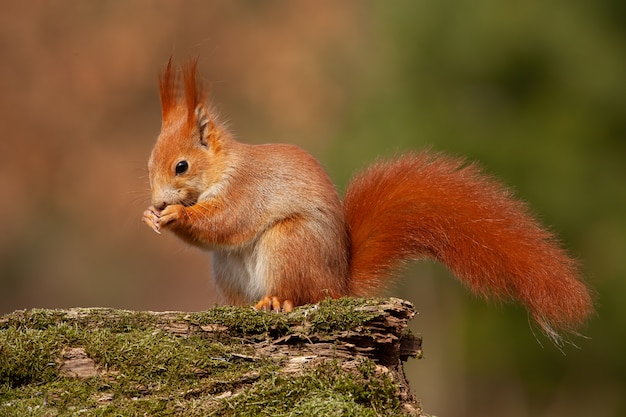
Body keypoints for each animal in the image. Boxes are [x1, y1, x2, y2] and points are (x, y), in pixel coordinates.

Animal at [141, 59, 588, 342]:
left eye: (181, 166)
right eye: (149, 164)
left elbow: (224, 221)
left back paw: (277, 300)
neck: (222, 169)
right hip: (227, 271)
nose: (159, 202)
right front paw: (150, 216)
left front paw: (176, 215)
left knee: (301, 294)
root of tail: (338, 285)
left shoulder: (246, 190)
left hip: (289, 244)